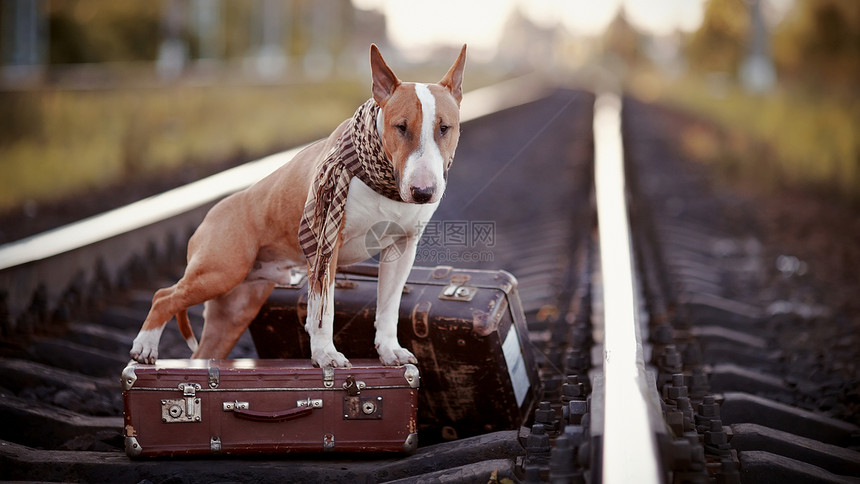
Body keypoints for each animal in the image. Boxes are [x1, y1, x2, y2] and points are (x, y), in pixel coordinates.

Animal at [129, 44, 464, 366]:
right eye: (401, 127)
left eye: (444, 128)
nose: (423, 192)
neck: (385, 186)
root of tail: (210, 215)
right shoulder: (326, 246)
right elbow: (323, 311)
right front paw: (326, 355)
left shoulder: (401, 247)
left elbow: (388, 306)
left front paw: (390, 351)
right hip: (221, 270)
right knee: (164, 295)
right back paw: (145, 347)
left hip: (234, 308)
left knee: (202, 345)